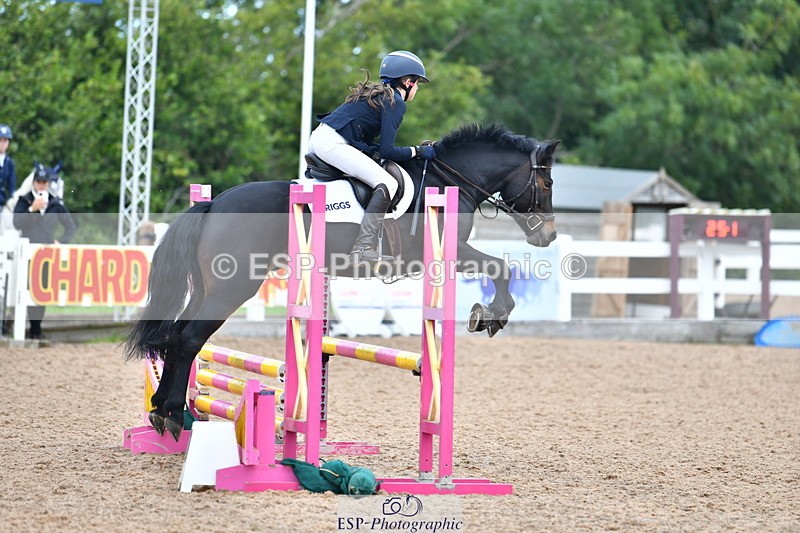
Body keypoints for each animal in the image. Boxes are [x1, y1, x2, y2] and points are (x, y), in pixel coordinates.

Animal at [124, 122, 560, 440]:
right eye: (548, 184)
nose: (548, 236)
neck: (449, 179)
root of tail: (213, 203)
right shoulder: (450, 250)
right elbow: (500, 268)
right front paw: (492, 315)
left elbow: (498, 268)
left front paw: (489, 314)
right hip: (233, 287)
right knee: (188, 339)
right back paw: (173, 415)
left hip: (209, 288)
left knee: (176, 338)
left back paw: (163, 412)